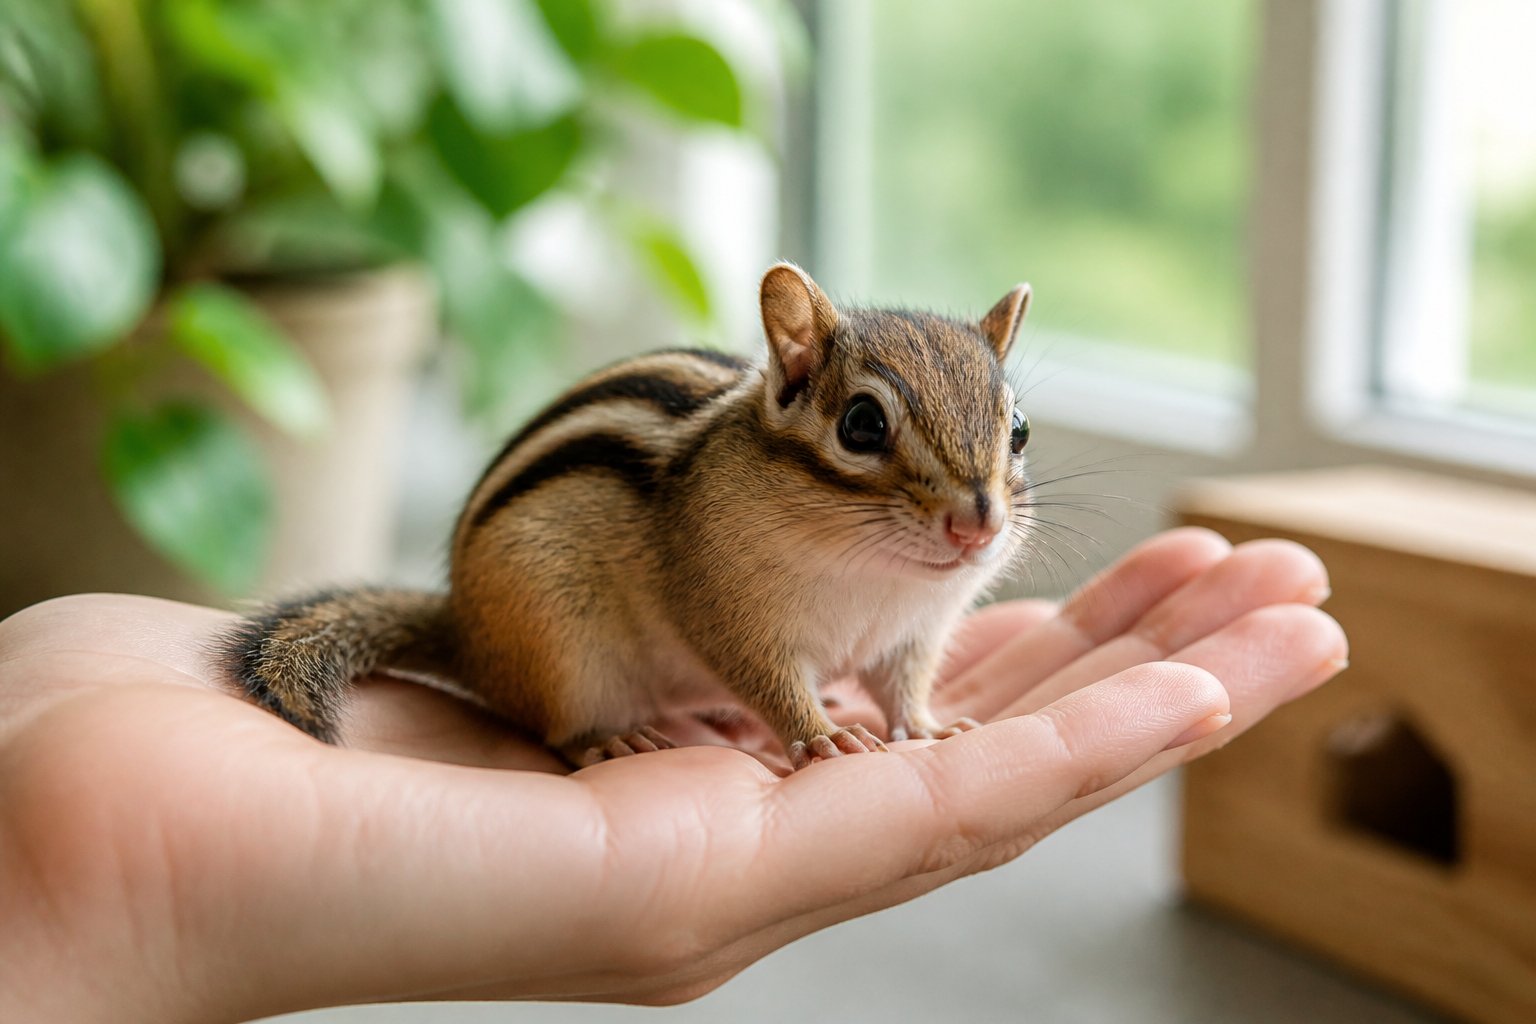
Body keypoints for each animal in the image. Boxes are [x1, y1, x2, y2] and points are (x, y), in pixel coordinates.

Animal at [220, 262, 1035, 770]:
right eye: (862, 426)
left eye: (1020, 429)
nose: (978, 525)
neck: (882, 577)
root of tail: (468, 637)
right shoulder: (727, 612)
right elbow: (770, 681)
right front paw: (821, 737)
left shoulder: (915, 634)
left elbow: (905, 688)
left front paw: (929, 726)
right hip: (562, 651)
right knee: (557, 725)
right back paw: (607, 742)